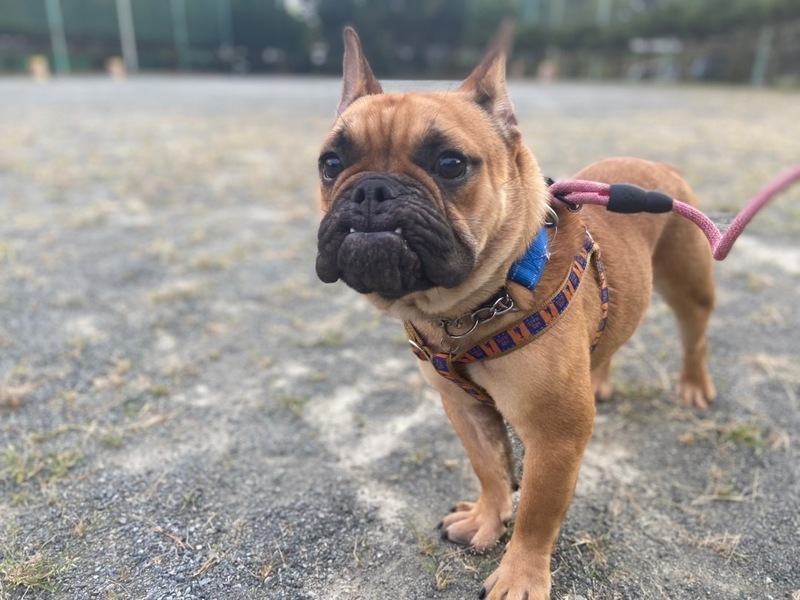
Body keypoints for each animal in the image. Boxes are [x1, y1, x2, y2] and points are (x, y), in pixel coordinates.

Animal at [315, 26, 716, 600]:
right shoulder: (464, 408)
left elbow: (537, 514)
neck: (472, 308)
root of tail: (662, 168)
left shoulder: (555, 438)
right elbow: (491, 469)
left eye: (450, 164)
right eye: (330, 164)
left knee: (694, 336)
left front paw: (520, 575)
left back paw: (694, 384)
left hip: (689, 286)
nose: (371, 189)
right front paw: (487, 519)